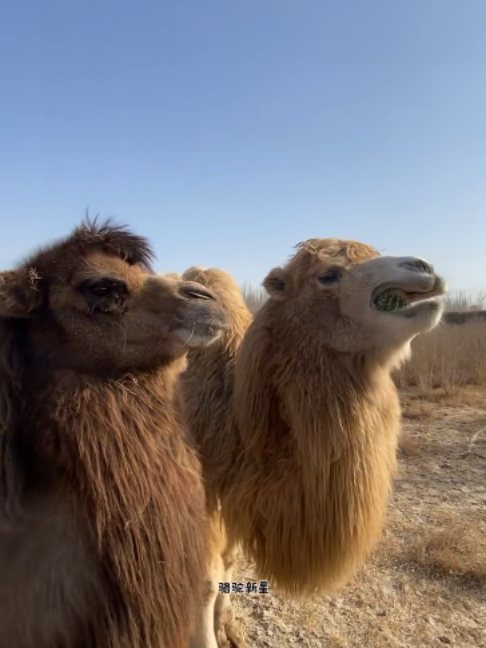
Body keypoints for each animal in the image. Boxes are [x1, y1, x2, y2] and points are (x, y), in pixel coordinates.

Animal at [179, 240, 448, 647]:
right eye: (329, 275)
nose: (424, 266)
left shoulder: (232, 498)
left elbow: (227, 563)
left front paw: (230, 629)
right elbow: (206, 580)